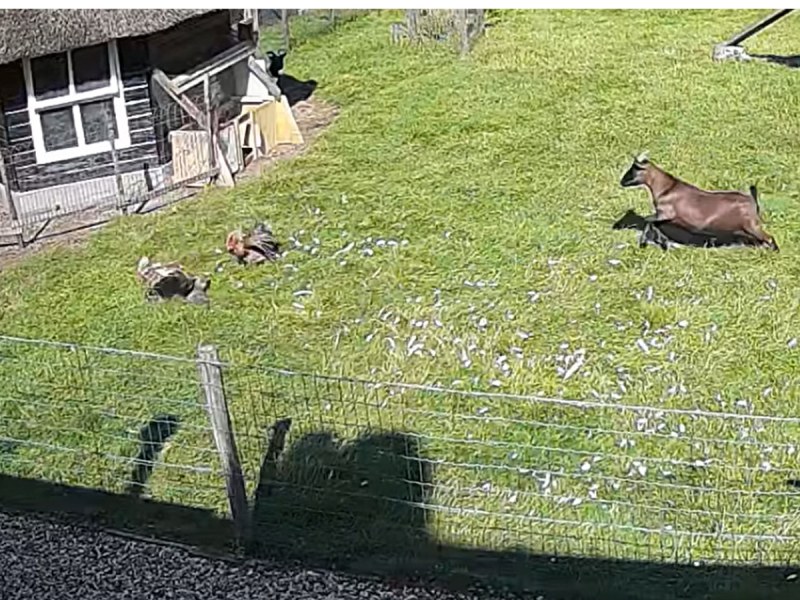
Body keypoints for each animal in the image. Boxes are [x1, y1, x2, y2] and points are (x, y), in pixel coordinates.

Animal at [620, 155, 780, 251]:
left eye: (633, 170)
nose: (621, 182)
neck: (666, 188)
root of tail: (752, 199)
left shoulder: (665, 213)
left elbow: (648, 220)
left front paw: (644, 243)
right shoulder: (665, 218)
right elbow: (655, 225)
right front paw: (664, 243)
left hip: (752, 226)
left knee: (769, 237)